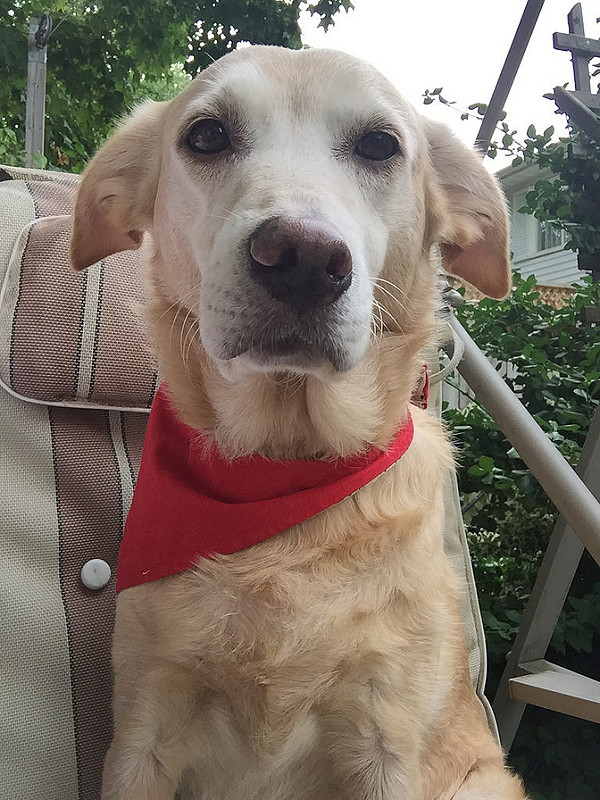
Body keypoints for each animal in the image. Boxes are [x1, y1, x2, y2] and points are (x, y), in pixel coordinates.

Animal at [70, 46, 528, 800]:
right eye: (206, 136)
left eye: (380, 145)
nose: (303, 257)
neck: (286, 468)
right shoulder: (143, 731)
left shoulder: (385, 742)